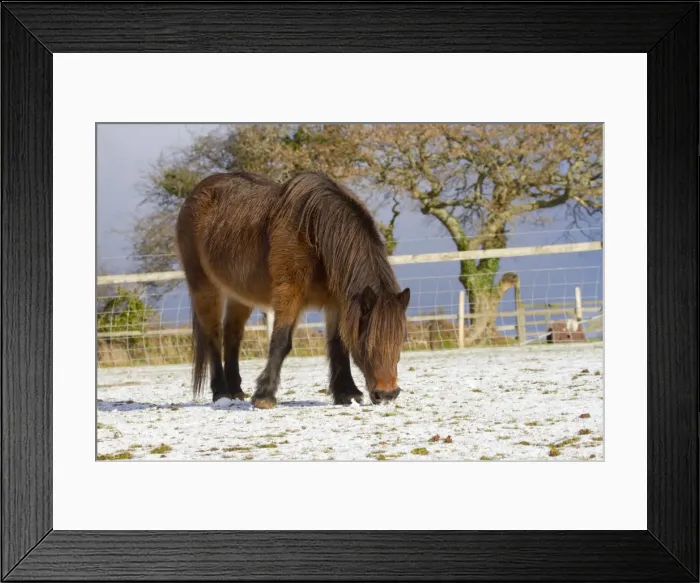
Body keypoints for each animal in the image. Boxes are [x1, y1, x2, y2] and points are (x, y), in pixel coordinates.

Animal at [175, 171, 410, 409]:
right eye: (367, 342)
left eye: (401, 340)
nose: (387, 394)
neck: (313, 232)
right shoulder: (289, 293)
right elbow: (281, 341)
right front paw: (264, 396)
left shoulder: (336, 302)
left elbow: (339, 344)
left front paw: (347, 393)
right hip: (205, 287)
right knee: (213, 335)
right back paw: (221, 392)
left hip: (239, 295)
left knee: (232, 334)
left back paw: (235, 391)